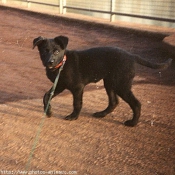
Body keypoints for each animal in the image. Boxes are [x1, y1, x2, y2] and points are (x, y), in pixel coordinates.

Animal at [32, 35, 171, 126]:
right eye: (44, 51)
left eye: (56, 51)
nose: (49, 62)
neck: (62, 64)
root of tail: (132, 56)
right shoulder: (60, 85)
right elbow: (46, 96)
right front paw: (48, 111)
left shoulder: (77, 87)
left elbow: (77, 103)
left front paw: (73, 116)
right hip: (110, 83)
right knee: (114, 102)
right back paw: (101, 114)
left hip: (121, 85)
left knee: (136, 103)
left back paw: (133, 123)